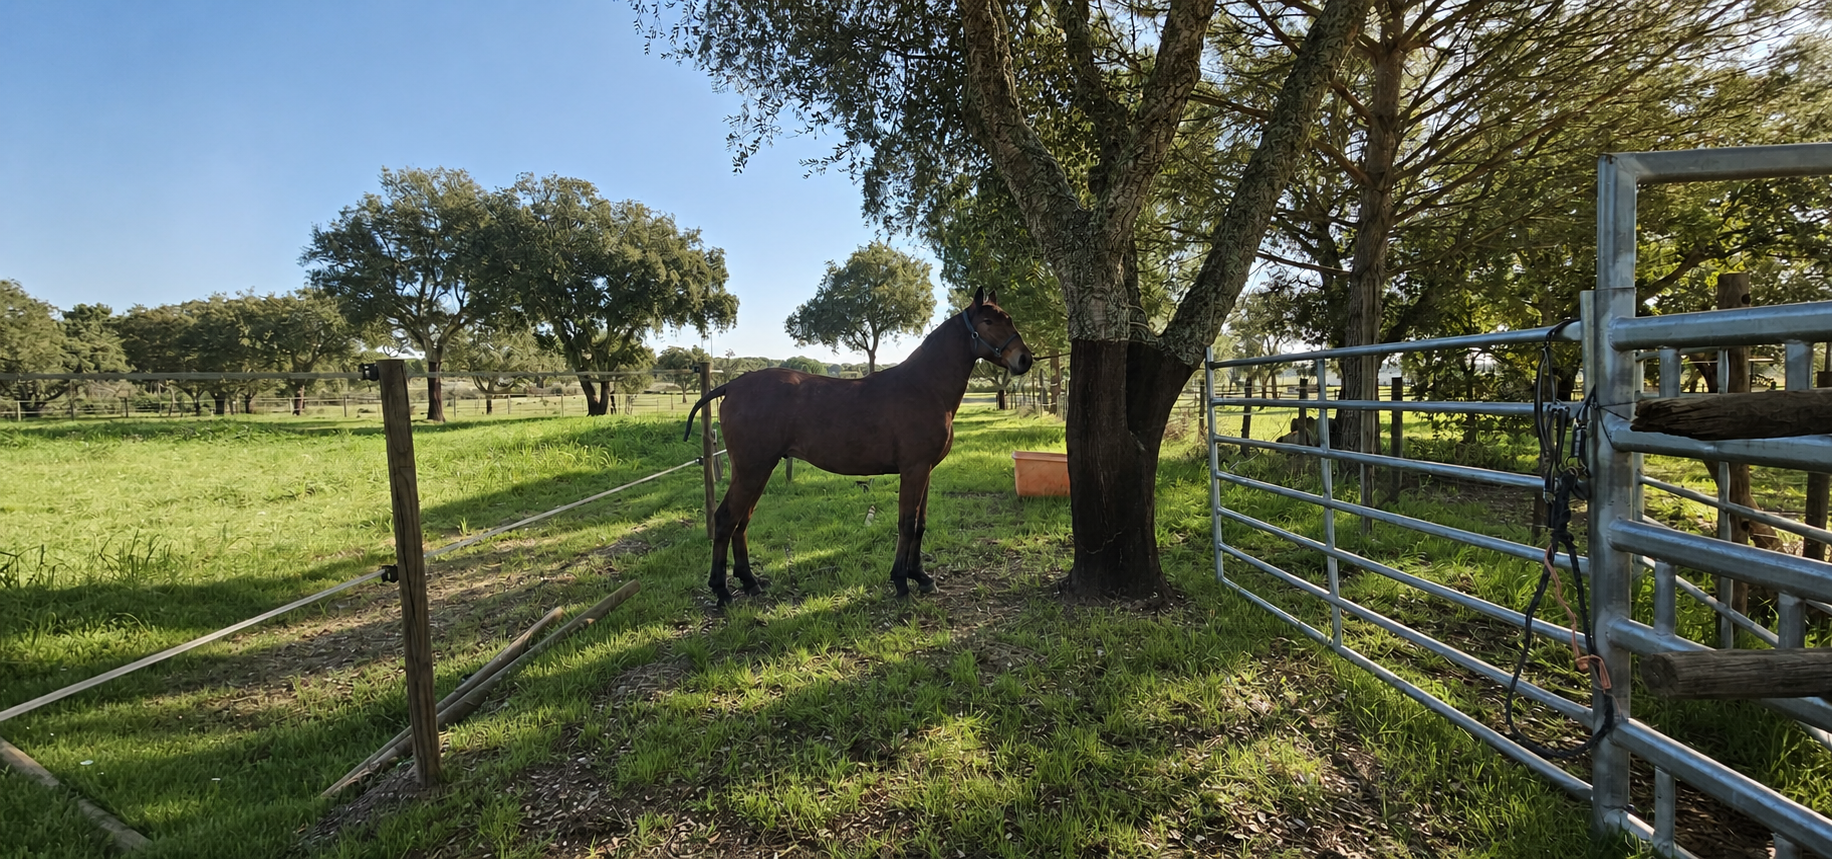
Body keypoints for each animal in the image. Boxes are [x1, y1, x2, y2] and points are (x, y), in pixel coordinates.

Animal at [684, 287, 1033, 605]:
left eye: (1008, 319)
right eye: (988, 321)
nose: (1024, 359)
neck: (924, 386)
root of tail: (731, 386)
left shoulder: (926, 471)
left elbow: (920, 524)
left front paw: (921, 576)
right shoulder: (914, 470)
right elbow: (907, 524)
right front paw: (901, 581)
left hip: (759, 470)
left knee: (741, 521)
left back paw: (749, 582)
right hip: (751, 470)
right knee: (726, 519)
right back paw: (721, 590)